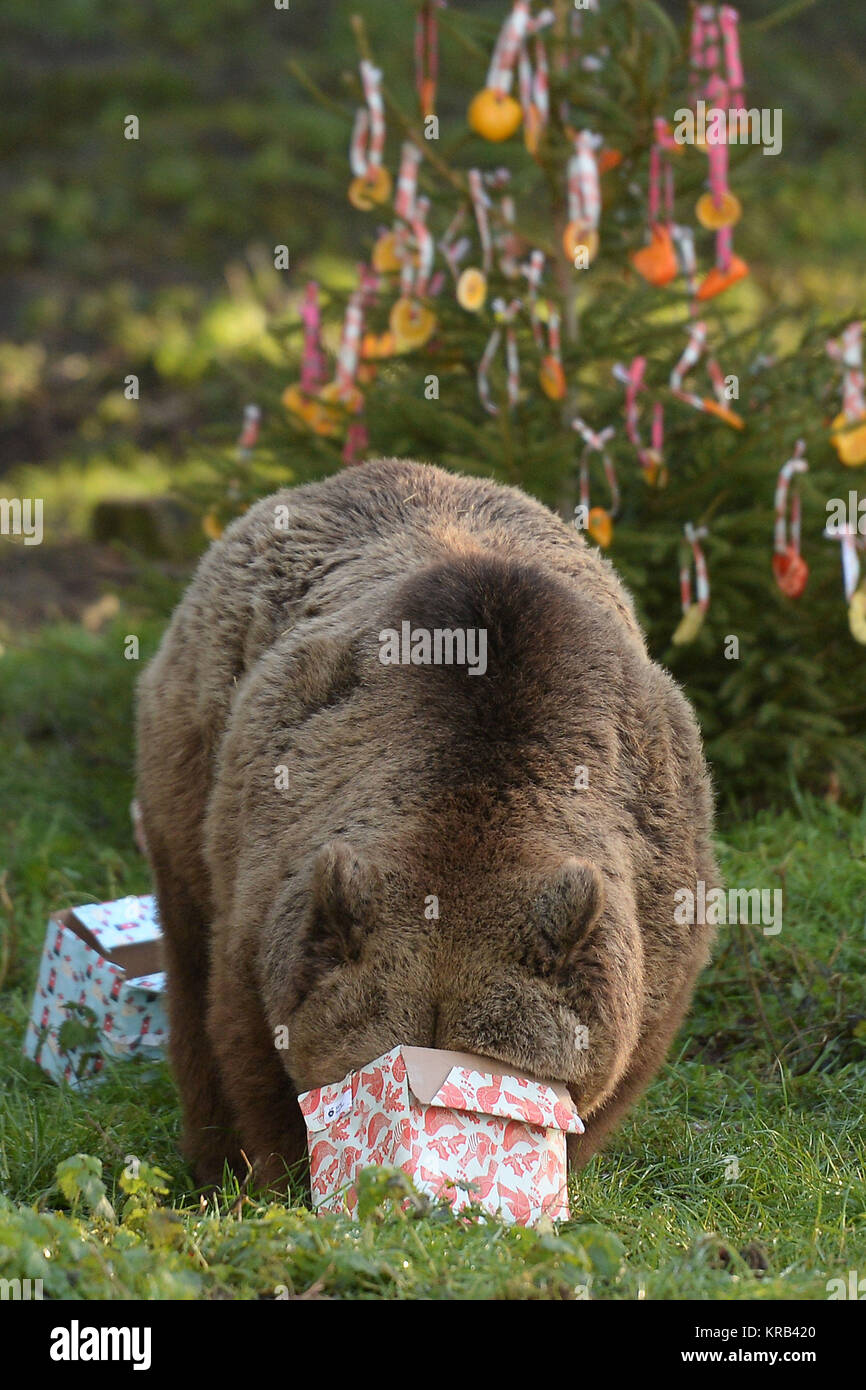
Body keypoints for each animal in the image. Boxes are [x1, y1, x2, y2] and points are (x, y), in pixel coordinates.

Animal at [135, 455, 717, 1184]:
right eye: (373, 1069)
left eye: (493, 1075)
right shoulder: (269, 874)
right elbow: (252, 1047)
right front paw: (284, 1170)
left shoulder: (655, 878)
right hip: (191, 755)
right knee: (187, 950)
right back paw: (209, 1156)